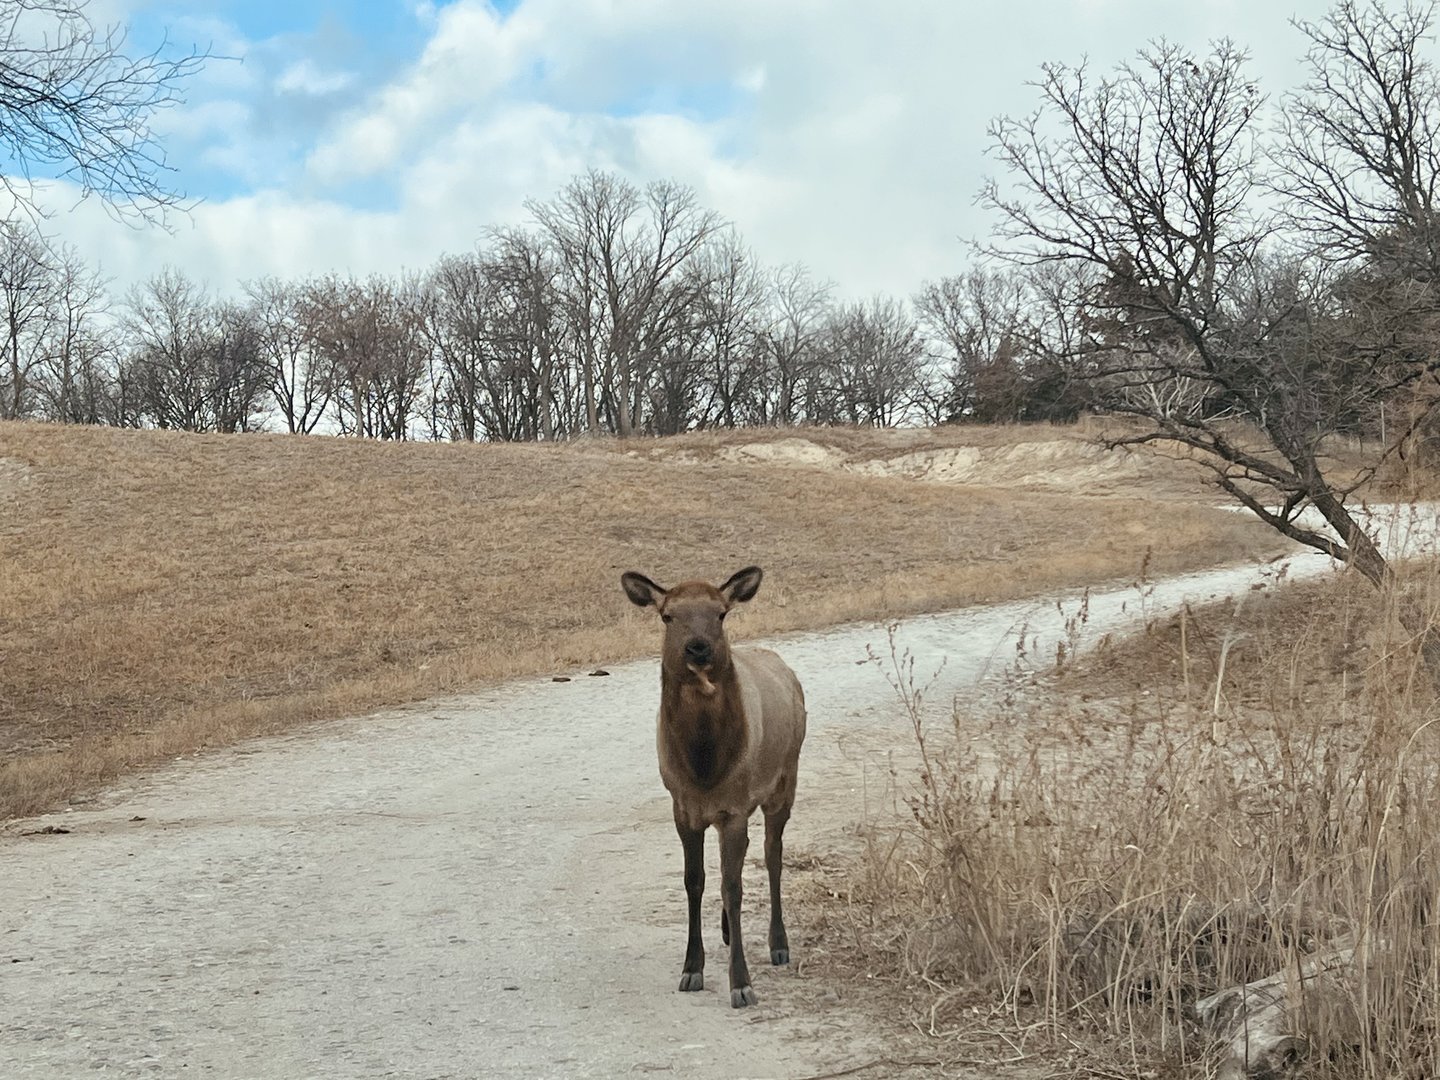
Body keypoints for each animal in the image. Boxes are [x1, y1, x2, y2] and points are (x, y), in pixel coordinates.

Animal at [621, 565, 807, 1008]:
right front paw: (692, 968)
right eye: (667, 615)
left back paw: (779, 943)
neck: (704, 768)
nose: (698, 648)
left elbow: (733, 885)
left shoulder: (733, 807)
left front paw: (741, 982)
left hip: (784, 781)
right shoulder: (683, 807)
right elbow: (696, 881)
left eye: (721, 613)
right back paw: (725, 930)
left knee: (772, 855)